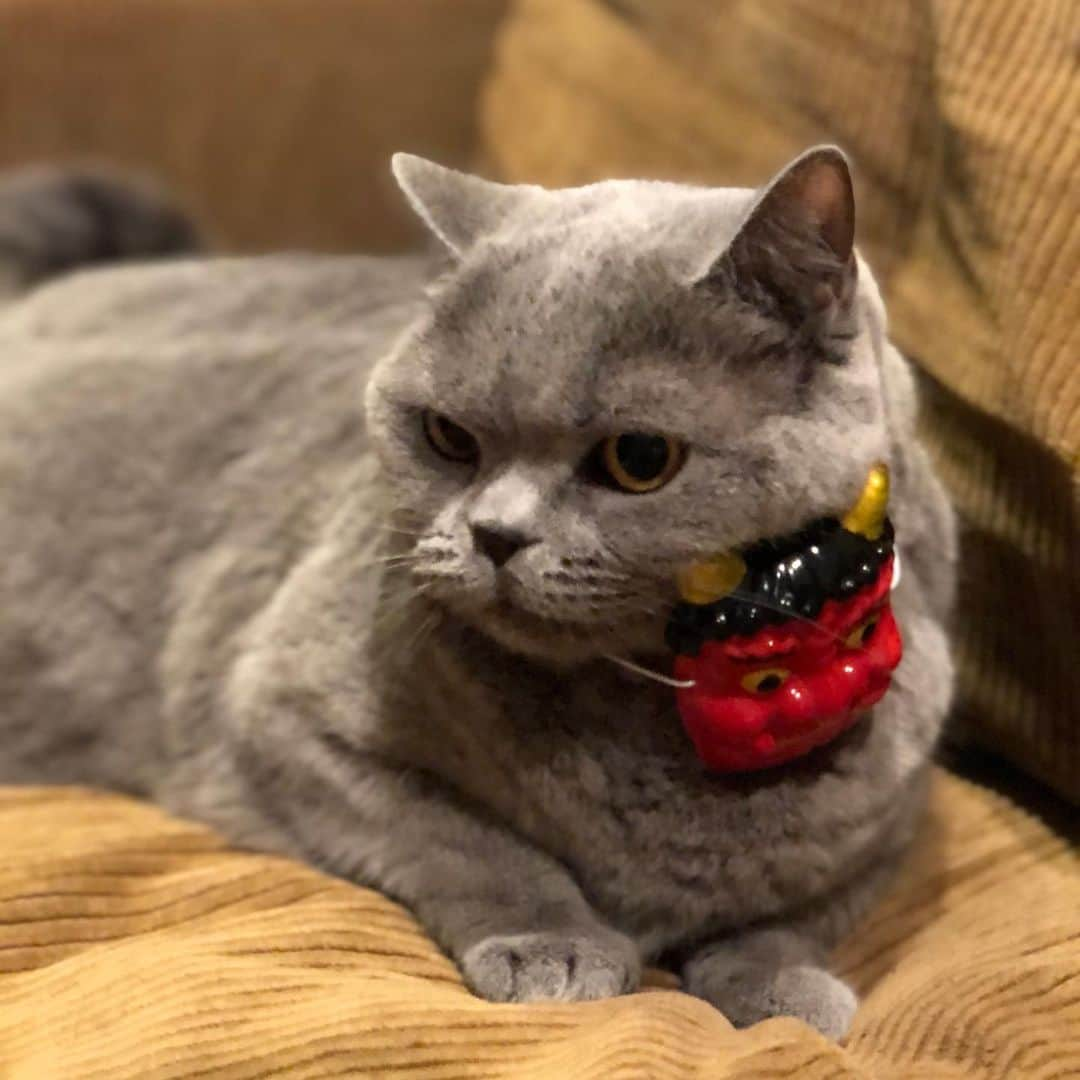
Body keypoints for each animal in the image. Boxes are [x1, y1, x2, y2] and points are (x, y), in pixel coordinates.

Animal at [0, 150, 954, 1036]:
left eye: (640, 458)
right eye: (448, 436)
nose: (495, 534)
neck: (649, 716)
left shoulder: (890, 816)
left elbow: (799, 907)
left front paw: (782, 982)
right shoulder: (279, 717)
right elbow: (465, 837)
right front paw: (552, 946)